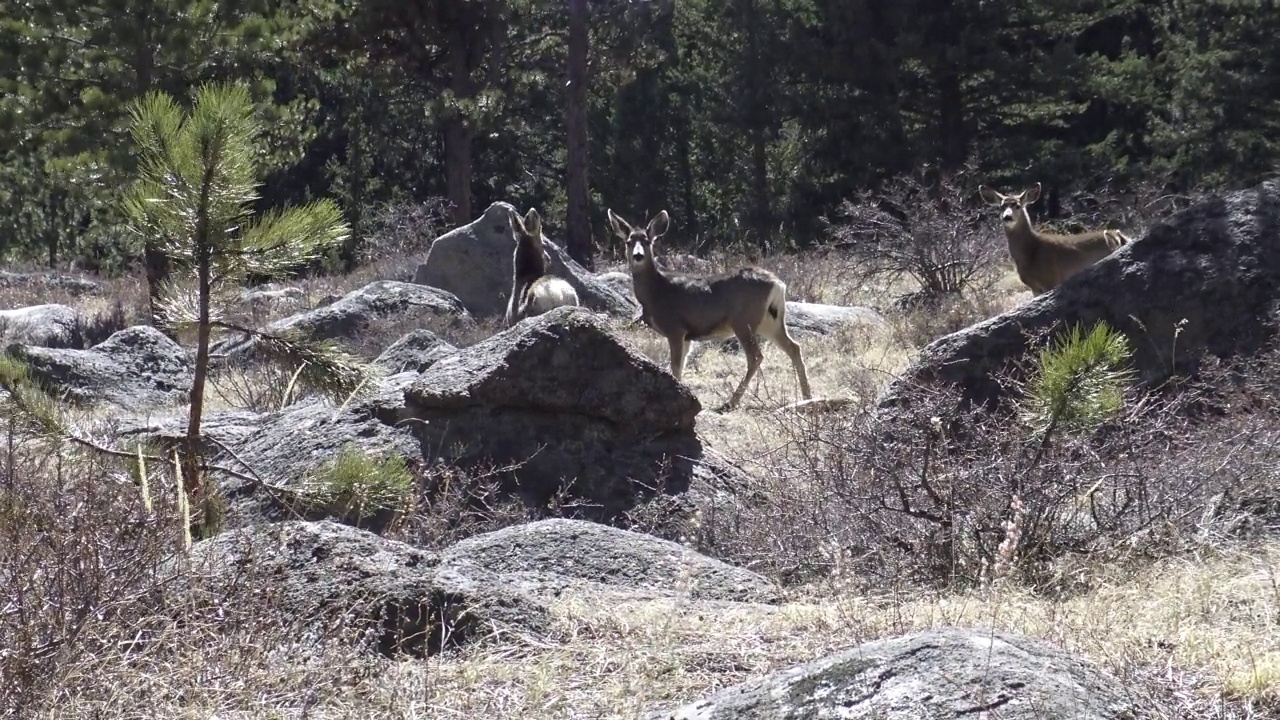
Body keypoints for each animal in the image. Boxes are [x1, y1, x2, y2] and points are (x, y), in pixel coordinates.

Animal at [606, 206, 808, 409]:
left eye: (647, 241)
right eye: (629, 241)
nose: (638, 255)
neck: (656, 291)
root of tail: (778, 284)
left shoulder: (675, 328)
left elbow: (675, 366)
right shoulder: (687, 336)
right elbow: (682, 364)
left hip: (743, 320)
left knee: (756, 356)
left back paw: (730, 402)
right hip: (770, 321)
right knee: (794, 347)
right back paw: (807, 396)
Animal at [977, 180, 1131, 295]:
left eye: (1018, 206)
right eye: (1001, 206)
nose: (1007, 217)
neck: (1031, 253)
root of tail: (1119, 236)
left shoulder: (1051, 279)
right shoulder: (1034, 288)